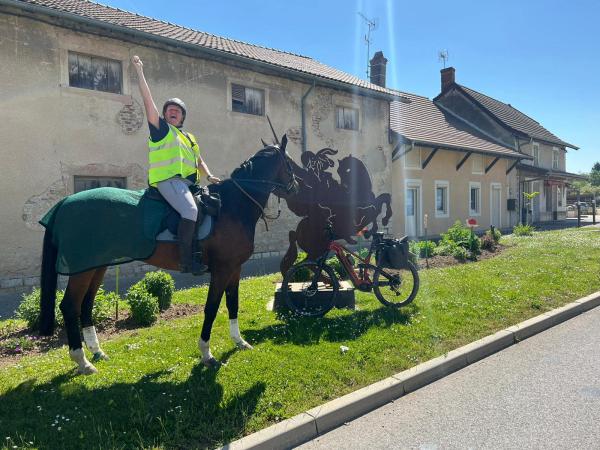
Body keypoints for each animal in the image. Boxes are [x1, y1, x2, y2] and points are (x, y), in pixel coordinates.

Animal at [39, 138, 298, 376]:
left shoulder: (235, 268)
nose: (295, 187)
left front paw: (239, 341)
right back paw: (82, 361)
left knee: (86, 304)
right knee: (70, 306)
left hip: (96, 266)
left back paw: (96, 351)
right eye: (290, 163)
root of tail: (65, 202)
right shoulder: (222, 270)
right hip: (82, 270)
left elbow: (232, 304)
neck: (232, 206)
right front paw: (207, 353)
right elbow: (211, 308)